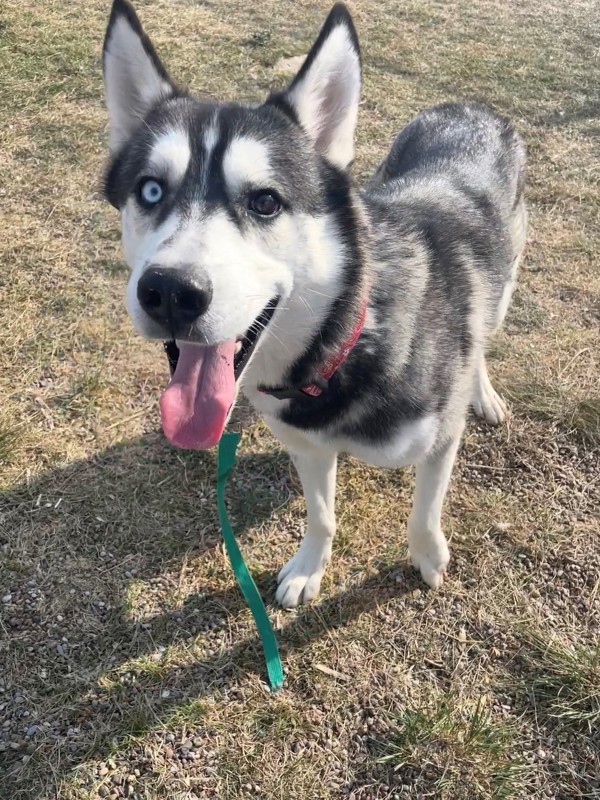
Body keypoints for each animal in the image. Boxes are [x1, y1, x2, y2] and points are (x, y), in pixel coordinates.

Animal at [102, 0, 524, 608]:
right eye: (151, 190)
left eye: (265, 201)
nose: (171, 292)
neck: (341, 345)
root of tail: (467, 106)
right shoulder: (306, 446)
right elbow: (321, 514)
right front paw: (308, 569)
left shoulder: (438, 440)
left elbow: (424, 512)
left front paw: (427, 557)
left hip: (508, 278)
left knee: (485, 329)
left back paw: (482, 392)